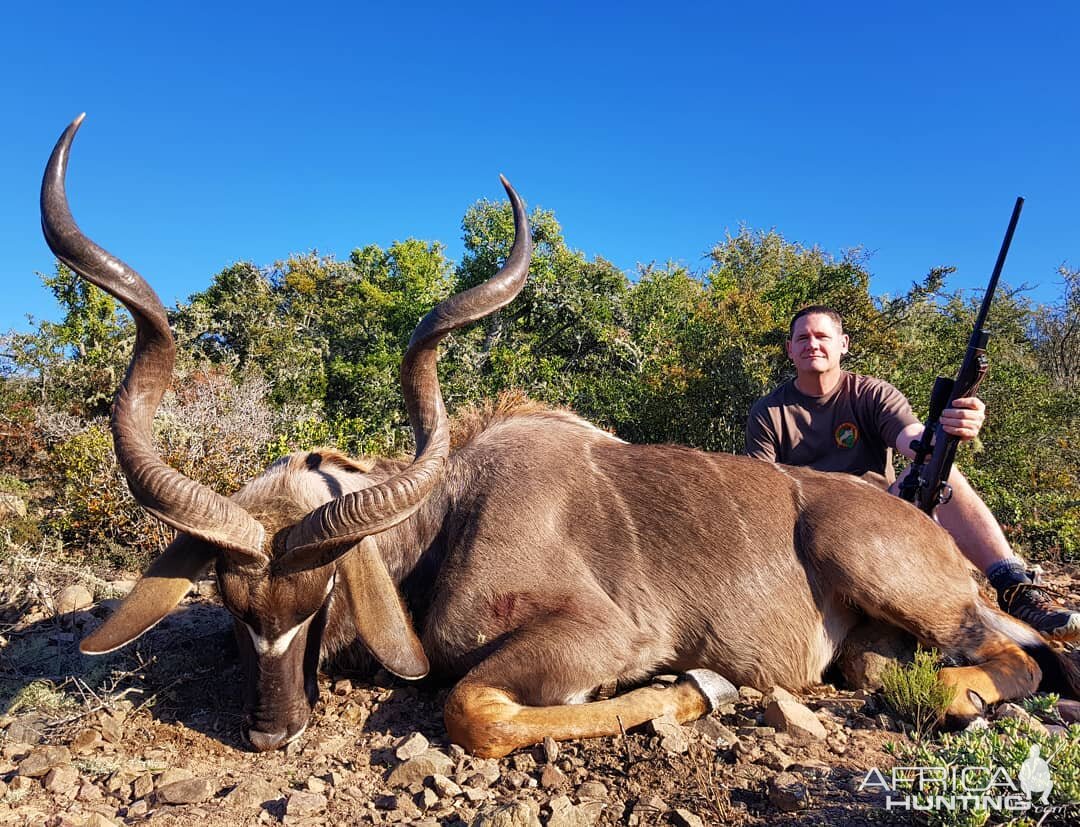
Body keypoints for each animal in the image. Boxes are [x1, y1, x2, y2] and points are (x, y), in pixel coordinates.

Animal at [44, 114, 1080, 760]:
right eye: (228, 599)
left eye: (326, 587)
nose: (270, 729)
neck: (451, 512)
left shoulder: (596, 636)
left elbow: (471, 706)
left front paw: (700, 688)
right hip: (875, 637)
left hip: (880, 568)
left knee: (1016, 658)